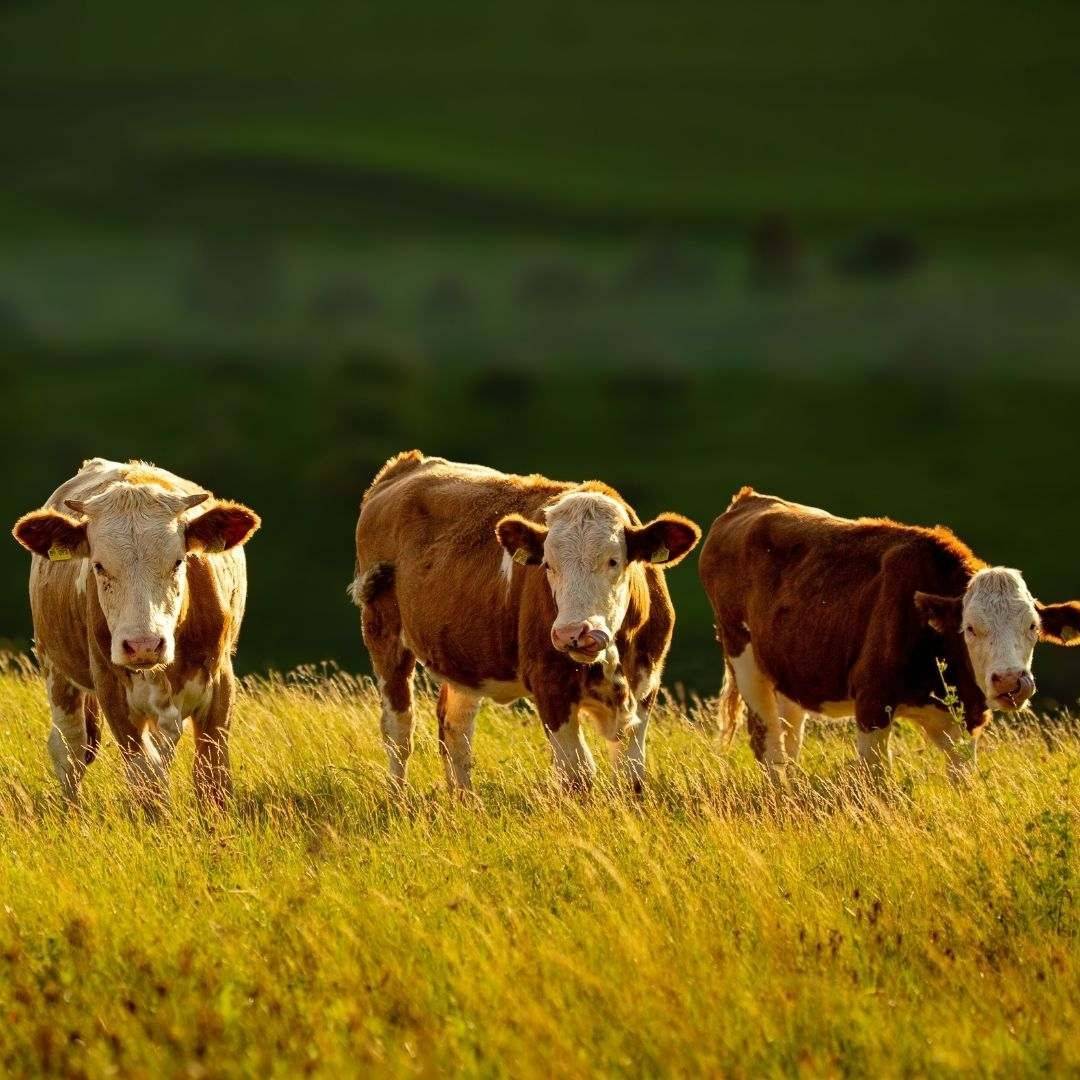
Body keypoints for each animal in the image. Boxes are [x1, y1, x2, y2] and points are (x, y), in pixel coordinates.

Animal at [11, 458, 260, 808]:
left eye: (178, 561)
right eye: (99, 566)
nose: (144, 645)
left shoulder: (220, 683)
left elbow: (211, 778)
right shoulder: (112, 693)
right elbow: (146, 779)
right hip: (55, 668)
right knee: (70, 748)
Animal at [349, 451, 701, 794]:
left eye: (613, 560)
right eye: (548, 565)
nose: (573, 633)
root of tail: (407, 465)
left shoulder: (645, 683)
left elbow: (631, 776)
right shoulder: (549, 685)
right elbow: (578, 774)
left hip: (465, 658)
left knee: (455, 729)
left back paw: (465, 801)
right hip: (382, 628)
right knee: (398, 728)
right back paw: (398, 799)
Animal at [699, 488, 1080, 781]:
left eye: (1032, 626)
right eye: (970, 627)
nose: (1010, 681)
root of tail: (748, 500)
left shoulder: (964, 720)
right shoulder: (871, 704)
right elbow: (879, 782)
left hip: (789, 672)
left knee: (789, 735)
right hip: (745, 661)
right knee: (767, 741)